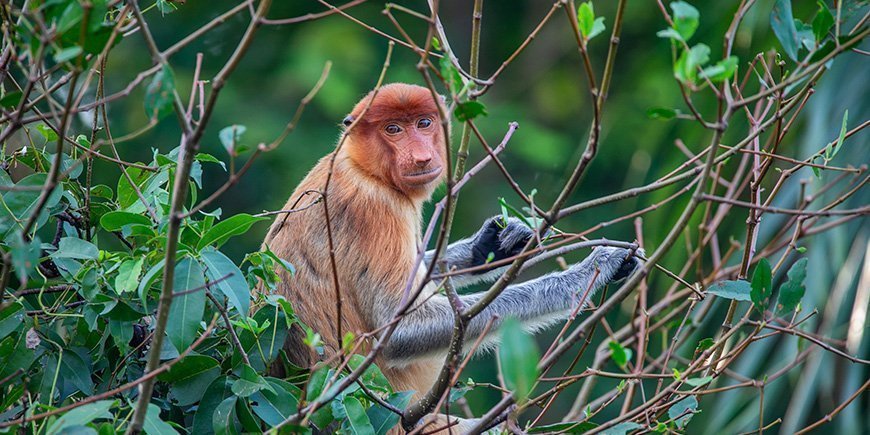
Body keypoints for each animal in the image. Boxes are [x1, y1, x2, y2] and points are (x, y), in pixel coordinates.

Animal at [261, 83, 642, 432]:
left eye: (424, 123)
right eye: (393, 129)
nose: (422, 158)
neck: (361, 167)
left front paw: (496, 242)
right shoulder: (376, 212)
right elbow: (398, 330)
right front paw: (593, 269)